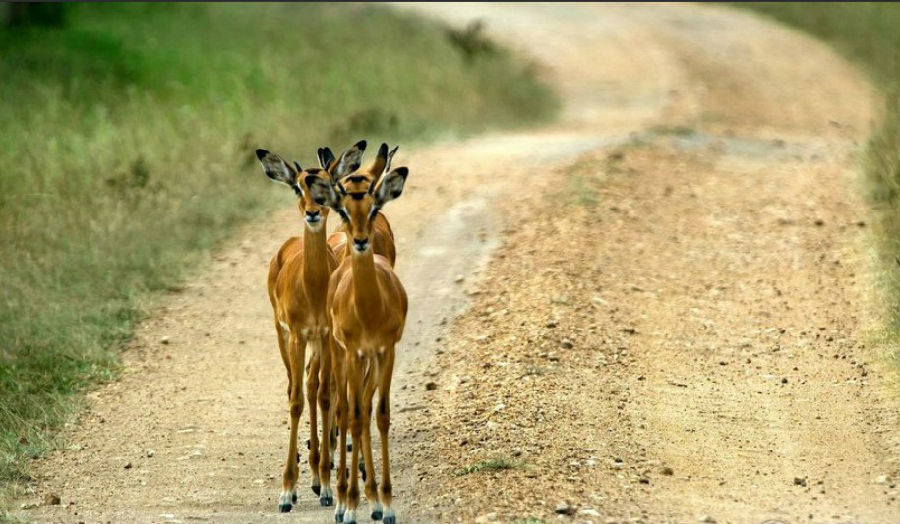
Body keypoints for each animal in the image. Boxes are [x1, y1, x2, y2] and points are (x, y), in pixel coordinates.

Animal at [253, 141, 366, 512]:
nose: (313, 212)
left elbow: (325, 396)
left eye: (329, 184)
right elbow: (296, 402)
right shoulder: (299, 336)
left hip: (316, 345)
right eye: (297, 186)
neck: (313, 288)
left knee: (314, 386)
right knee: (295, 387)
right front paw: (287, 492)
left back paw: (318, 472)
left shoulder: (326, 336)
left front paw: (328, 487)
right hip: (283, 336)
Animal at [308, 162, 410, 520]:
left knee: (361, 410)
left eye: (374, 207)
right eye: (343, 210)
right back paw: (339, 497)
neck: (368, 310)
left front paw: (386, 504)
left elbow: (380, 415)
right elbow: (352, 415)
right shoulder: (353, 352)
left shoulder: (386, 351)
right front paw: (349, 504)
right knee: (342, 407)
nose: (361, 241)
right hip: (340, 355)